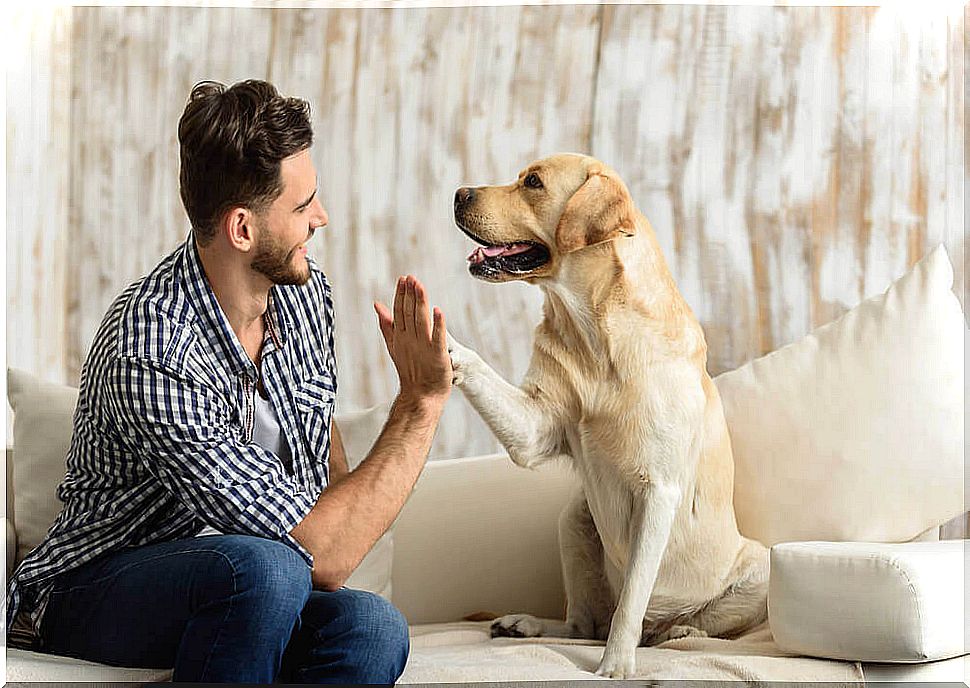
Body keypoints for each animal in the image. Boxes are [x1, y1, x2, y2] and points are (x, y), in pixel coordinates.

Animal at [444, 155, 764, 676]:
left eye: (533, 182)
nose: (457, 193)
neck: (593, 331)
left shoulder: (659, 491)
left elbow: (631, 600)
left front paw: (615, 666)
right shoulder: (534, 428)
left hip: (760, 567)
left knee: (673, 624)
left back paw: (676, 630)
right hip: (573, 520)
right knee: (582, 624)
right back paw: (525, 624)